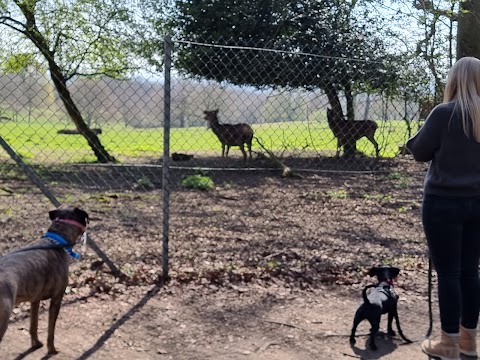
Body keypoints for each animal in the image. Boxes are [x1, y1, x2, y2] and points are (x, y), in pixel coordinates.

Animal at [0, 205, 89, 354]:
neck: (55, 240)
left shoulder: (35, 300)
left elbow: (33, 325)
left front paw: (36, 343)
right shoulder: (57, 299)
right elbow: (51, 330)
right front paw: (52, 349)